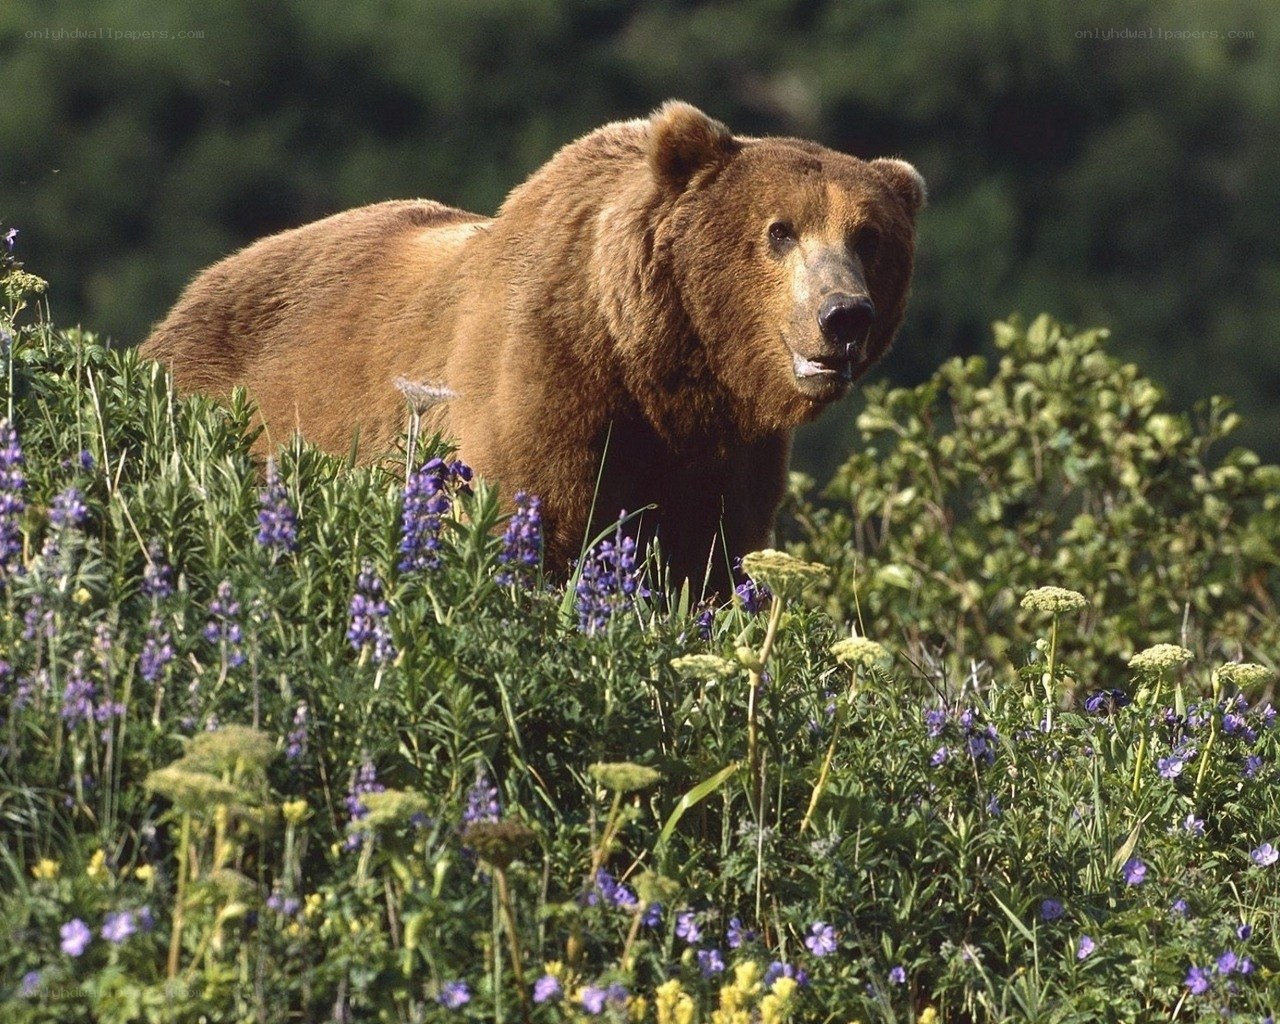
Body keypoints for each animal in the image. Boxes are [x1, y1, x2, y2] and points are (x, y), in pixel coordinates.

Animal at [140, 101, 925, 593]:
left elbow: (708, 559)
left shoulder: (724, 450)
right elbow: (524, 520)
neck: (658, 360)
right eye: (779, 230)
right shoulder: (545, 375)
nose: (843, 315)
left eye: (868, 237)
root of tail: (190, 294)